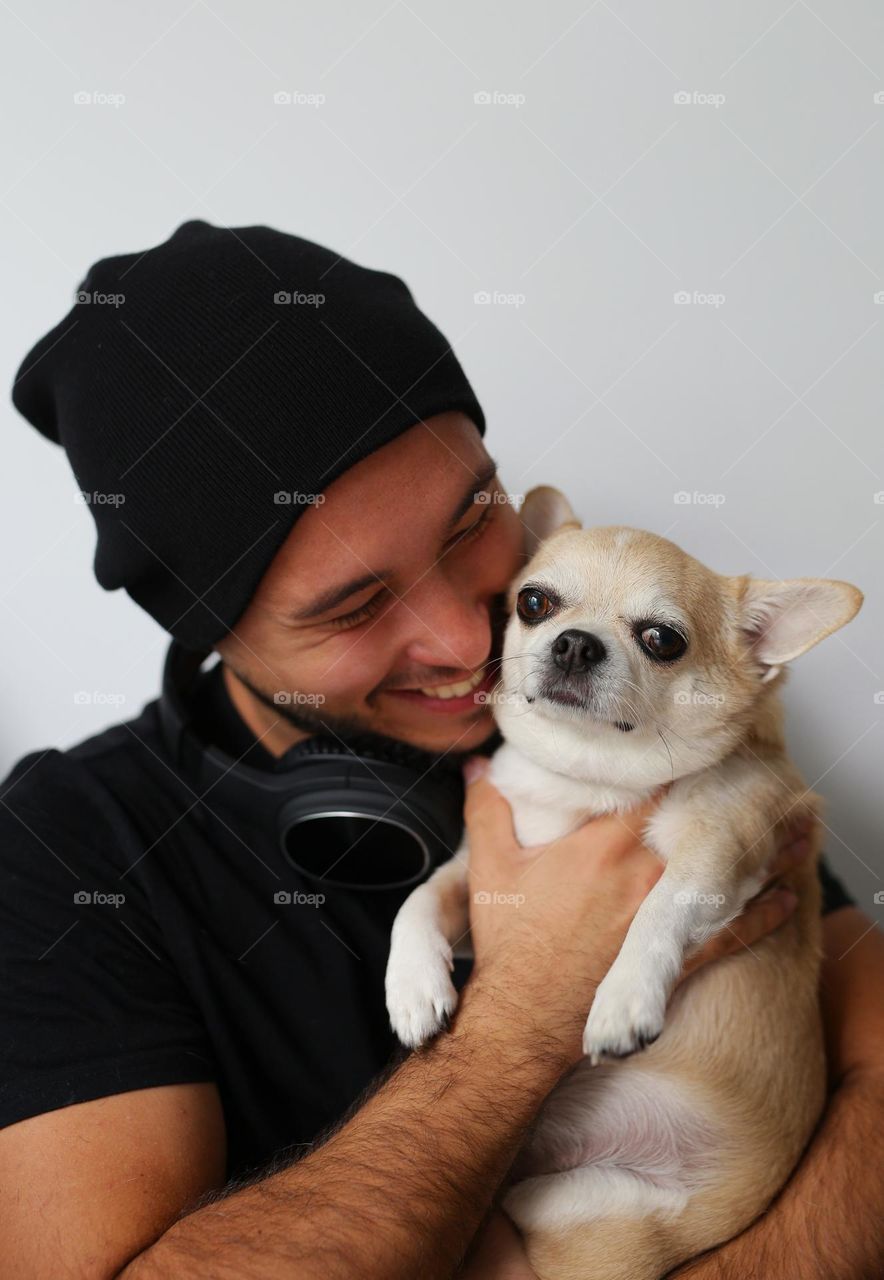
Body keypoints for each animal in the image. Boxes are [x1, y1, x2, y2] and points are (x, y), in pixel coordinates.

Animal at [386, 486, 864, 1280]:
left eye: (662, 639)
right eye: (534, 602)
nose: (575, 642)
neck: (586, 778)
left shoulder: (721, 853)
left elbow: (660, 909)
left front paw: (622, 1000)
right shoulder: (481, 870)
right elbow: (417, 897)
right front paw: (414, 986)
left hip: (587, 1211)